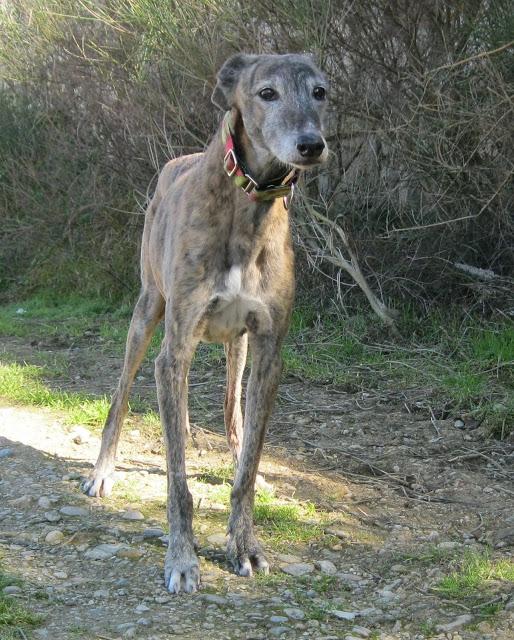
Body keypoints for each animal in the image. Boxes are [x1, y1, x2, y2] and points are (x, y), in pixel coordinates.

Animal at [81, 53, 328, 596]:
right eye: (267, 93)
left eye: (321, 92)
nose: (312, 144)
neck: (247, 209)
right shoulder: (173, 347)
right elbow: (177, 481)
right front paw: (182, 558)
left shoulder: (269, 350)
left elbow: (247, 469)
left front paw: (245, 544)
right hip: (147, 314)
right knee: (121, 395)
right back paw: (102, 470)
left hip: (236, 345)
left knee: (232, 410)